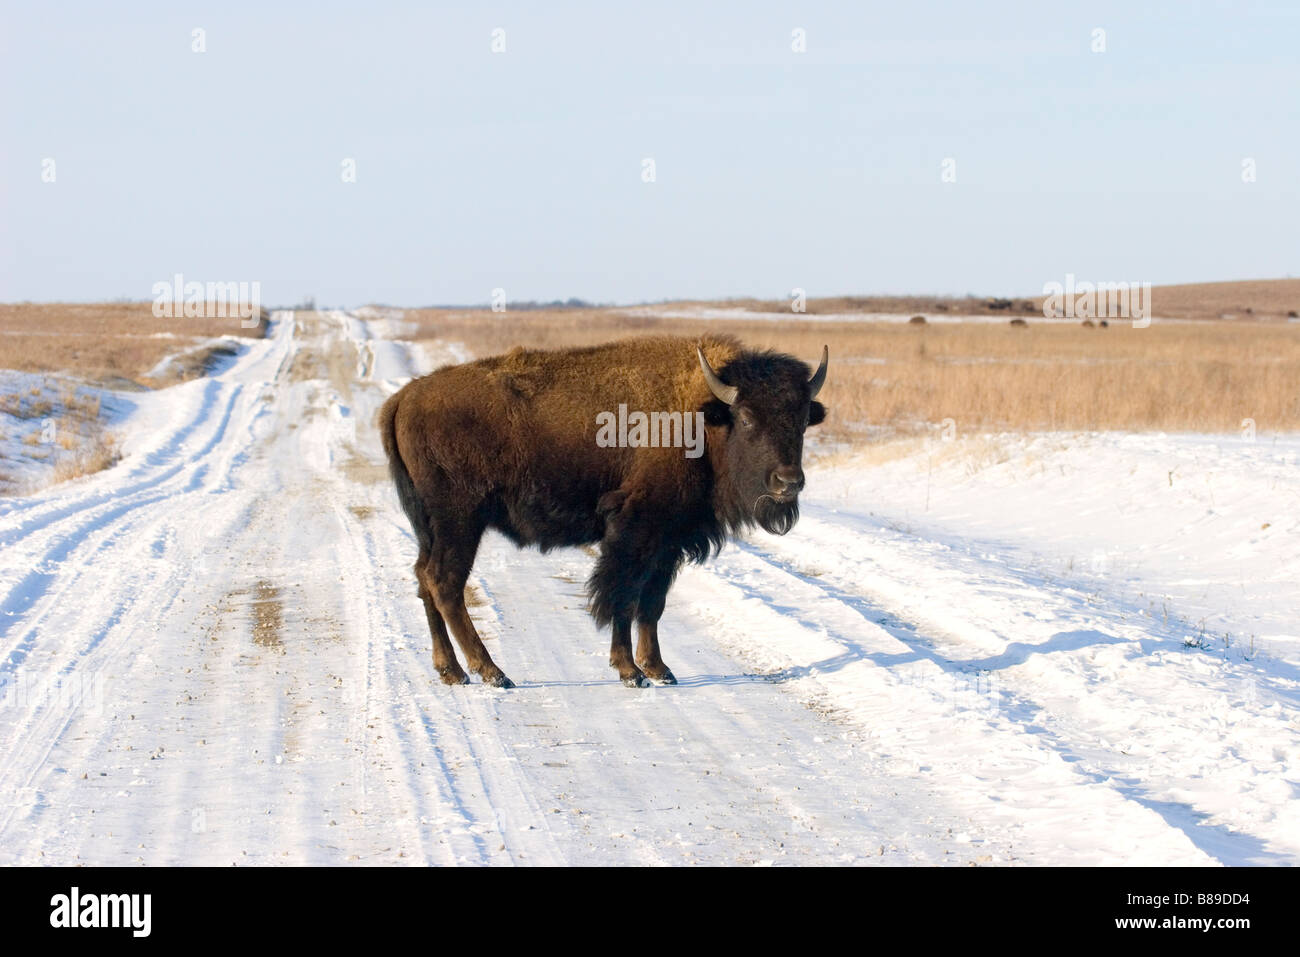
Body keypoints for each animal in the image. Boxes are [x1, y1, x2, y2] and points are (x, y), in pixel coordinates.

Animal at [379, 334, 828, 688]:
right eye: (747, 418)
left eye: (802, 420)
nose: (789, 482)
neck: (703, 416)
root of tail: (403, 399)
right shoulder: (634, 533)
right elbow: (622, 597)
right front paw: (630, 671)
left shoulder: (669, 542)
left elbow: (652, 603)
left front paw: (660, 669)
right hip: (460, 521)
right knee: (445, 583)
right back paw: (492, 672)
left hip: (429, 527)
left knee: (424, 578)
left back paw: (452, 671)